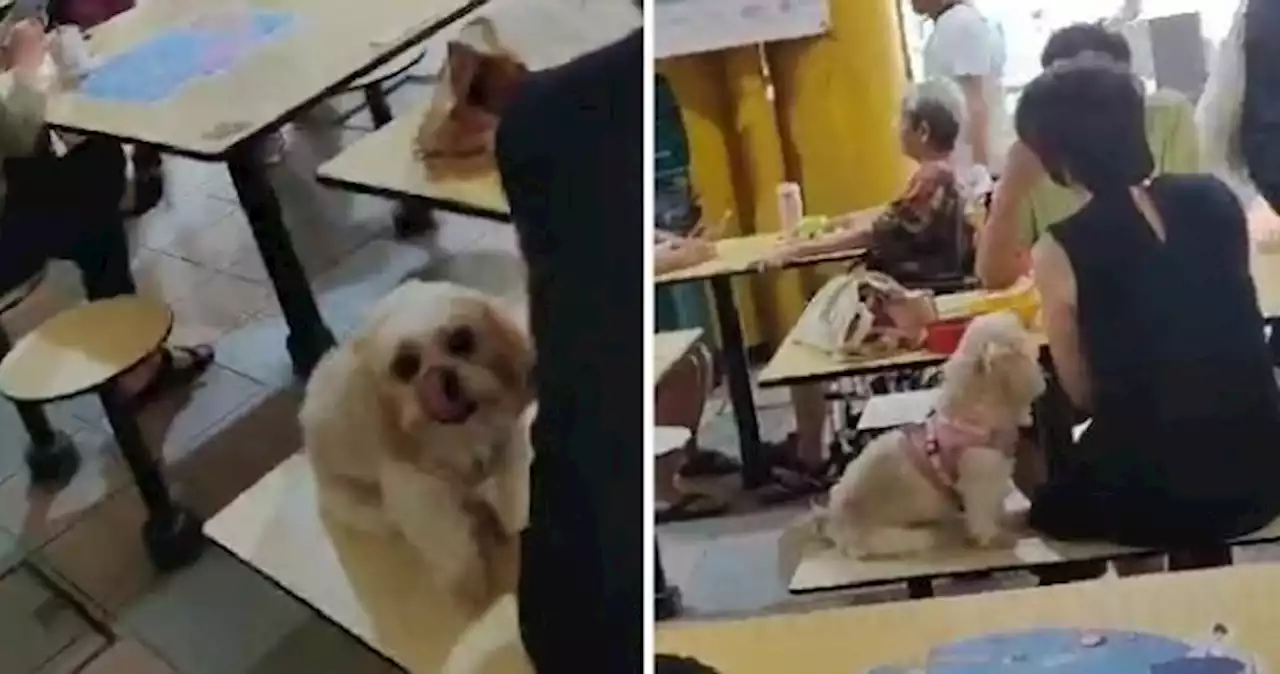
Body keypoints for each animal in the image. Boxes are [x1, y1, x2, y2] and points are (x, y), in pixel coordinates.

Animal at [300, 282, 535, 608]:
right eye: (405, 366)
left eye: (461, 340)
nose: (444, 376)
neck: (460, 434)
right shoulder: (419, 494)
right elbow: (454, 548)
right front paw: (469, 588)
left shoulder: (509, 452)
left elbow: (515, 504)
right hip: (365, 506)